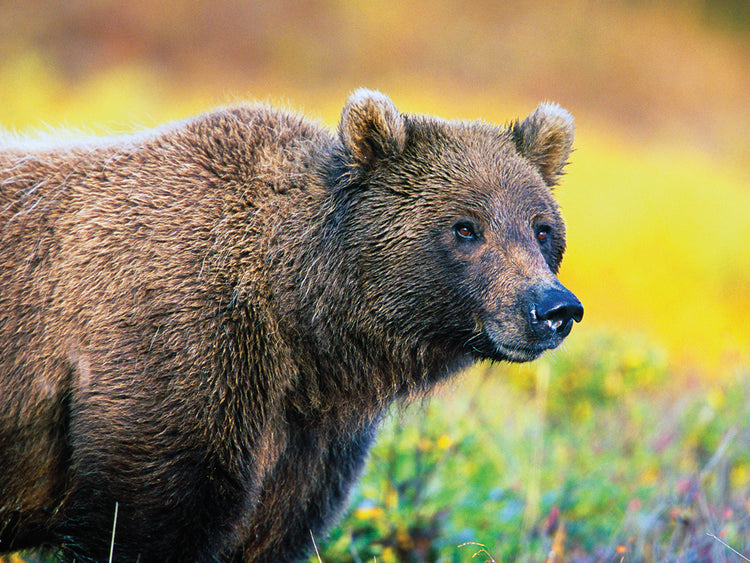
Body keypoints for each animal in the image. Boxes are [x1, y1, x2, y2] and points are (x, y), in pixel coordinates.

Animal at [0, 89, 582, 562]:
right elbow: (144, 522)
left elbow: (273, 530)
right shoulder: (170, 359)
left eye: (542, 228)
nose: (554, 307)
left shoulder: (307, 443)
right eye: (465, 227)